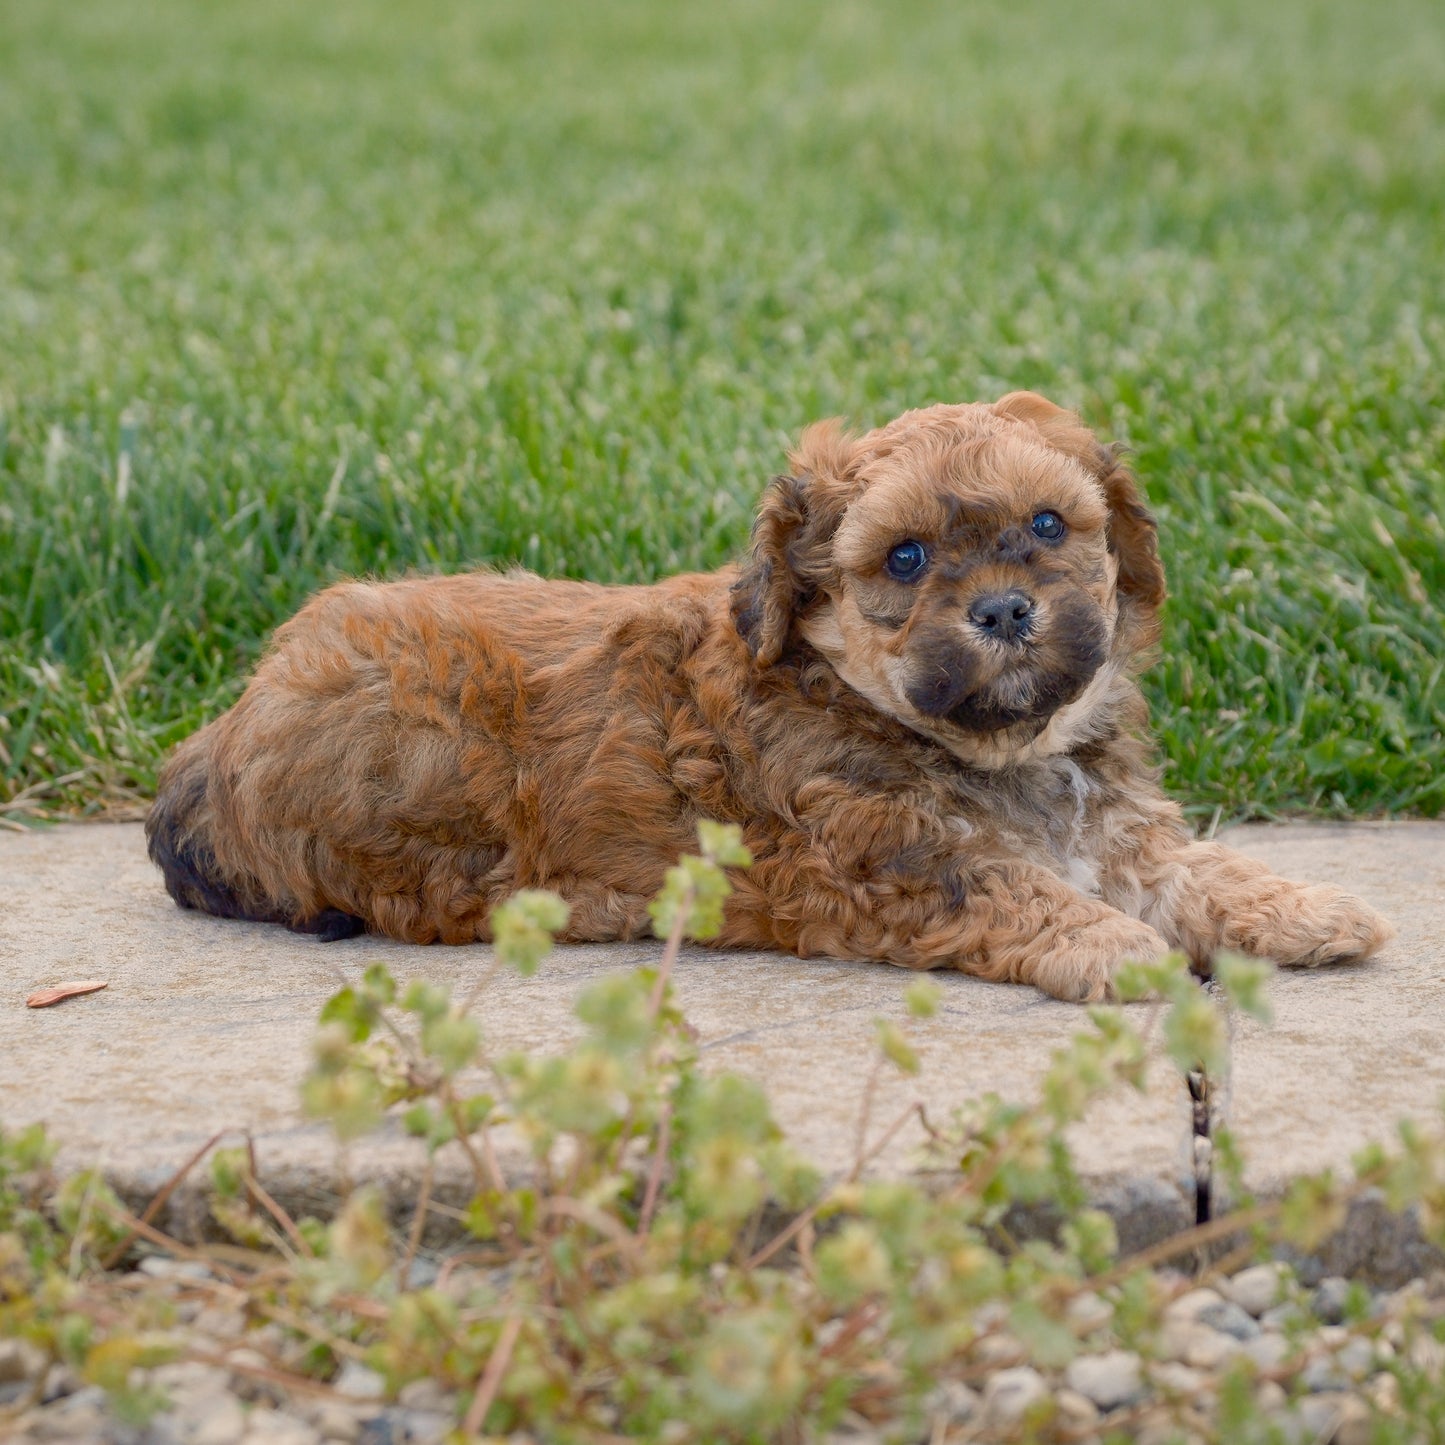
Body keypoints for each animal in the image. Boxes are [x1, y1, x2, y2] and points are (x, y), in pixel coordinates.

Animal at [143, 395, 1387, 1005]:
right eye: (902, 558)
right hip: (416, 739)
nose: (1001, 611)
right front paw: (1120, 947)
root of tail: (225, 731)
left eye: (1047, 526)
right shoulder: (889, 858)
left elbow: (1190, 865)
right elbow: (1018, 889)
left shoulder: (1115, 827)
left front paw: (1299, 907)